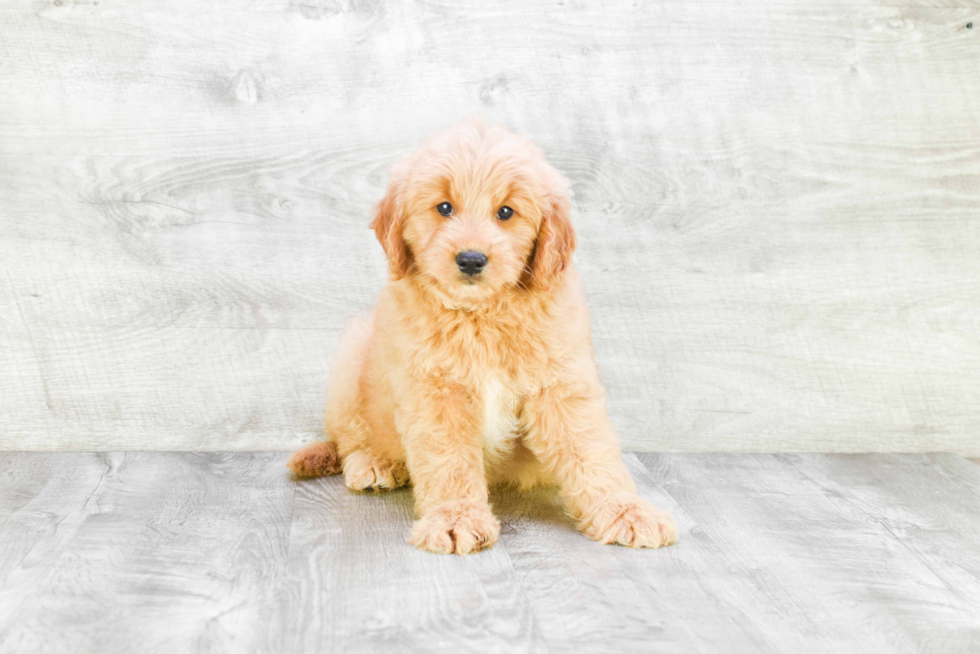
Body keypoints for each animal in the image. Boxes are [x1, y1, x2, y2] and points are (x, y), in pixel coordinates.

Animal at [288, 120, 676, 556]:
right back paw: (374, 462)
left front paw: (624, 510)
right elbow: (448, 461)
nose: (471, 260)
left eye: (506, 212)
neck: (481, 315)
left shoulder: (561, 384)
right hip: (353, 354)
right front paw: (455, 517)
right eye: (444, 207)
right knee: (348, 437)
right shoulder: (436, 393)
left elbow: (589, 449)